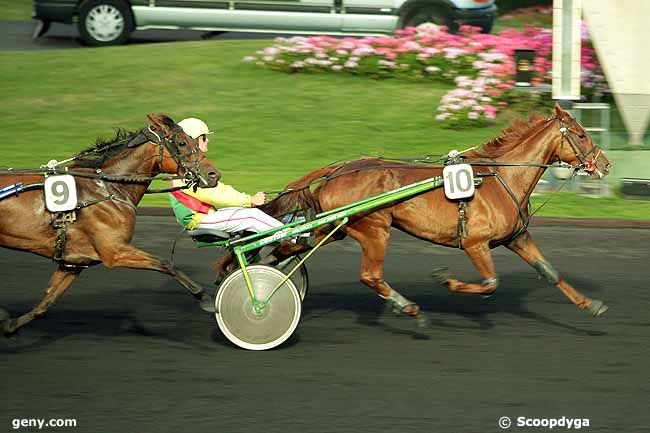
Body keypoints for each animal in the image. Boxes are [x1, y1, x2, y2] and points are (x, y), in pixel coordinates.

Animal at [0, 114, 220, 334]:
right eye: (182, 142)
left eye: (194, 141)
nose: (214, 174)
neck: (109, 187)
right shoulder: (114, 251)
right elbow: (165, 263)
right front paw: (205, 298)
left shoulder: (74, 262)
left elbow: (47, 301)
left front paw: (9, 325)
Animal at [256, 104, 608, 318]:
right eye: (581, 135)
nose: (604, 164)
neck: (501, 179)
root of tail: (338, 170)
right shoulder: (475, 243)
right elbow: (490, 282)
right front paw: (445, 280)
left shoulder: (516, 237)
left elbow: (550, 271)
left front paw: (590, 304)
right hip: (374, 228)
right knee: (370, 275)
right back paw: (406, 306)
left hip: (336, 227)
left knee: (289, 246)